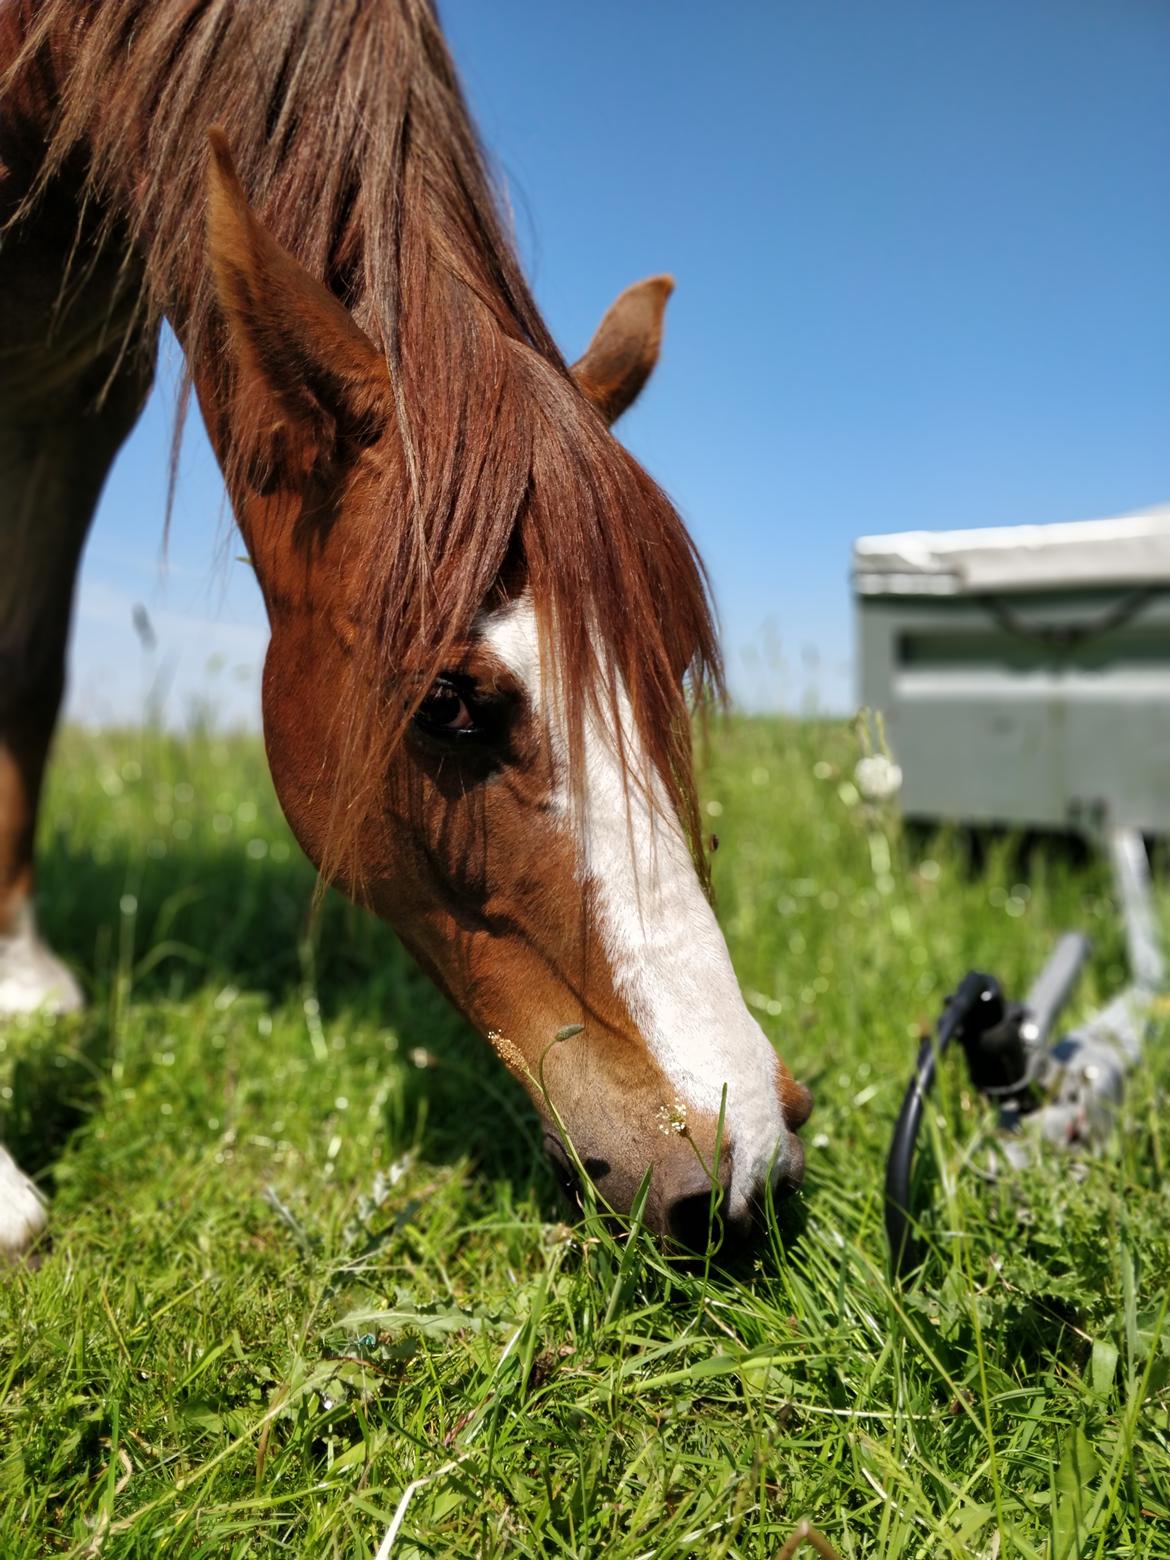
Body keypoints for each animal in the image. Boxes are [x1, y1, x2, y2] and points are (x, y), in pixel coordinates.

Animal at [0, 0, 811, 1254]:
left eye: (667, 665)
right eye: (448, 704)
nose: (749, 1158)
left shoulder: (83, 389)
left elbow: (27, 667)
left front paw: (22, 979)